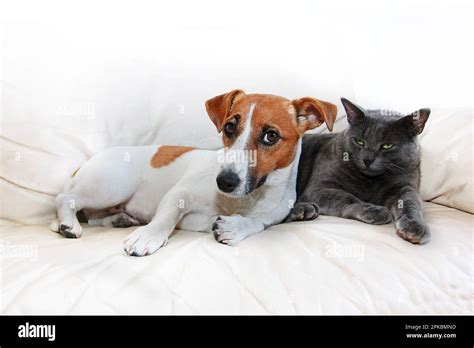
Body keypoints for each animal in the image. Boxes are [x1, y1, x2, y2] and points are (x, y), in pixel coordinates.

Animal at [50, 89, 336, 256]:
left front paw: (235, 227)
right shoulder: (179, 193)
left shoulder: (269, 216)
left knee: (93, 216)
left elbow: (257, 223)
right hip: (112, 186)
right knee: (66, 200)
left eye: (271, 136)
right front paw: (149, 236)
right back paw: (69, 224)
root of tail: (85, 164)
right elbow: (165, 218)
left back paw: (117, 220)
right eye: (229, 127)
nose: (224, 181)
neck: (243, 199)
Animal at [286, 98, 432, 245]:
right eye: (359, 141)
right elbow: (345, 197)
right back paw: (304, 209)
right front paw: (374, 210)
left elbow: (410, 202)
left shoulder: (406, 186)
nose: (367, 160)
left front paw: (415, 227)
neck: (371, 181)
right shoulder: (317, 189)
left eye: (387, 146)